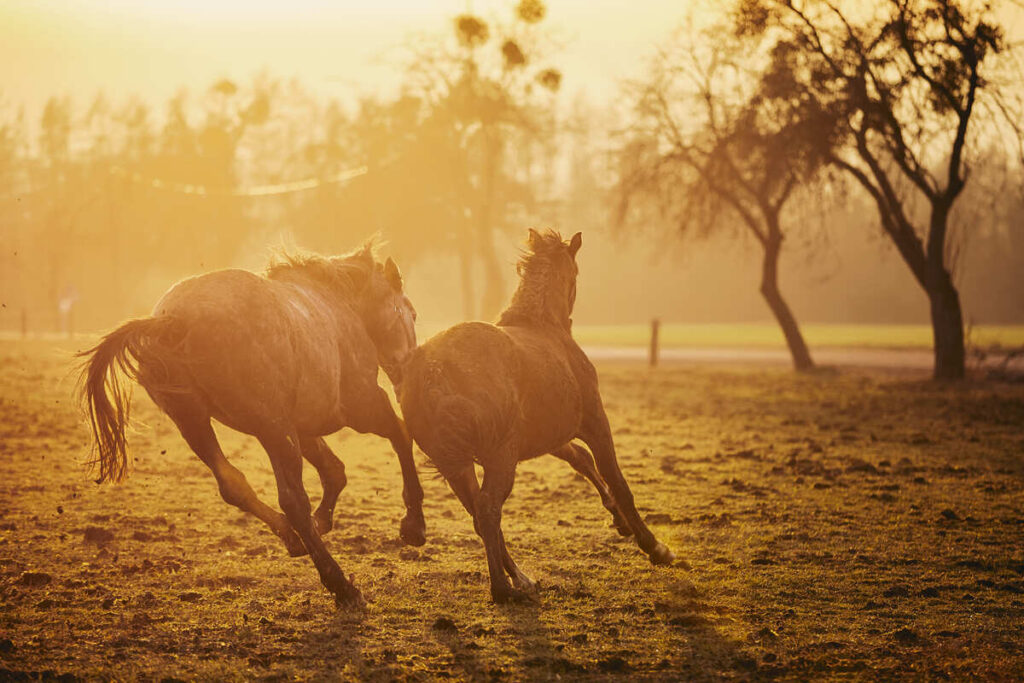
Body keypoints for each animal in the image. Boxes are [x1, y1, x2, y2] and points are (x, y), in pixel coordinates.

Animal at [78, 242, 423, 606]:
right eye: (411, 314)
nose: (406, 370)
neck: (340, 303)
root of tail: (172, 321)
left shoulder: (300, 425)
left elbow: (334, 470)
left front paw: (323, 520)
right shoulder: (359, 406)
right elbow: (400, 434)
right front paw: (413, 524)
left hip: (195, 421)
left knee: (234, 485)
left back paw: (292, 537)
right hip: (273, 428)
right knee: (292, 499)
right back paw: (340, 584)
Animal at [401, 228, 679, 602]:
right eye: (575, 272)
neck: (546, 328)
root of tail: (433, 369)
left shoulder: (550, 437)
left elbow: (582, 461)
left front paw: (620, 522)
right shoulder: (594, 422)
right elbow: (616, 478)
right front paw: (654, 546)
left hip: (456, 465)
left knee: (479, 515)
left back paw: (521, 578)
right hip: (499, 458)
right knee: (488, 510)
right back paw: (504, 587)